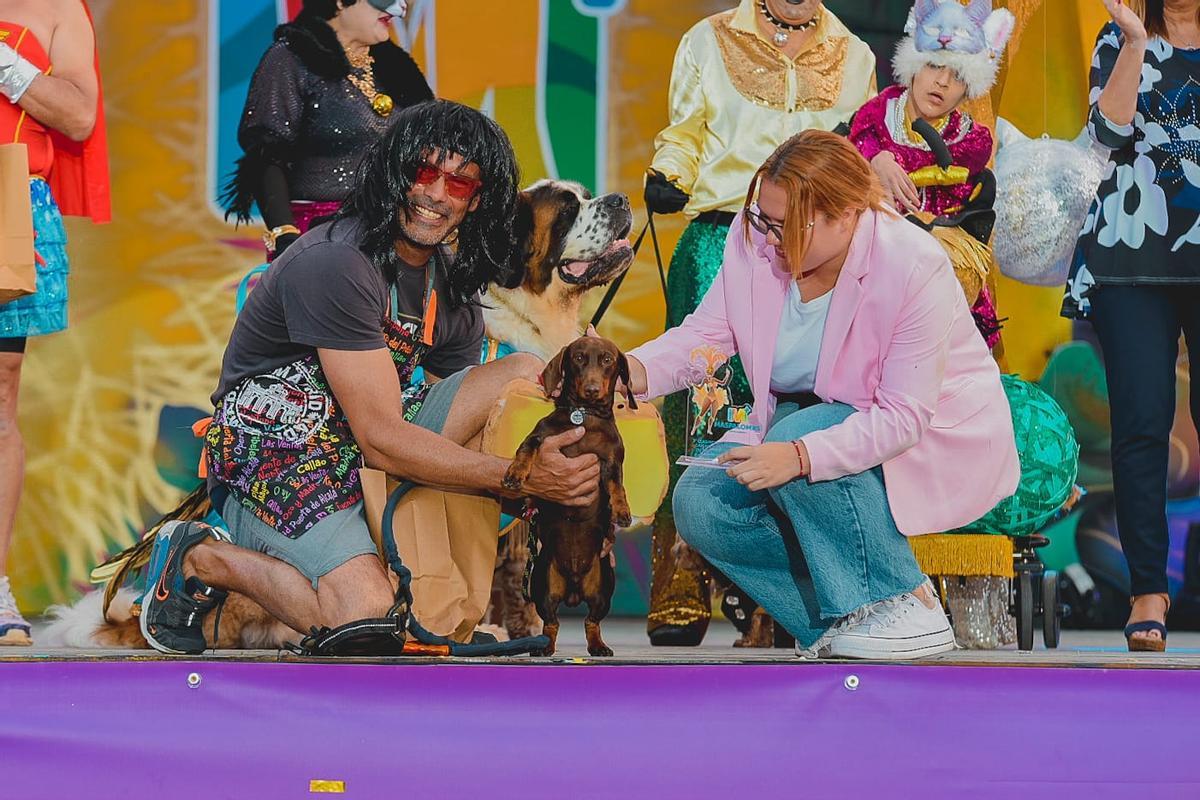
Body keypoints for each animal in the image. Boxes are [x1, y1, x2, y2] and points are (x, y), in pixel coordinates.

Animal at [501, 335, 638, 652]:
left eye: (607, 360)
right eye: (578, 358)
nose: (592, 389)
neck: (583, 417)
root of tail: (574, 590)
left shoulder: (612, 462)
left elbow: (617, 486)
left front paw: (622, 512)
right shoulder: (538, 437)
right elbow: (525, 451)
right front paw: (516, 475)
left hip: (604, 587)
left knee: (591, 621)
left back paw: (598, 646)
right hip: (542, 584)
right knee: (551, 623)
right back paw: (544, 647)